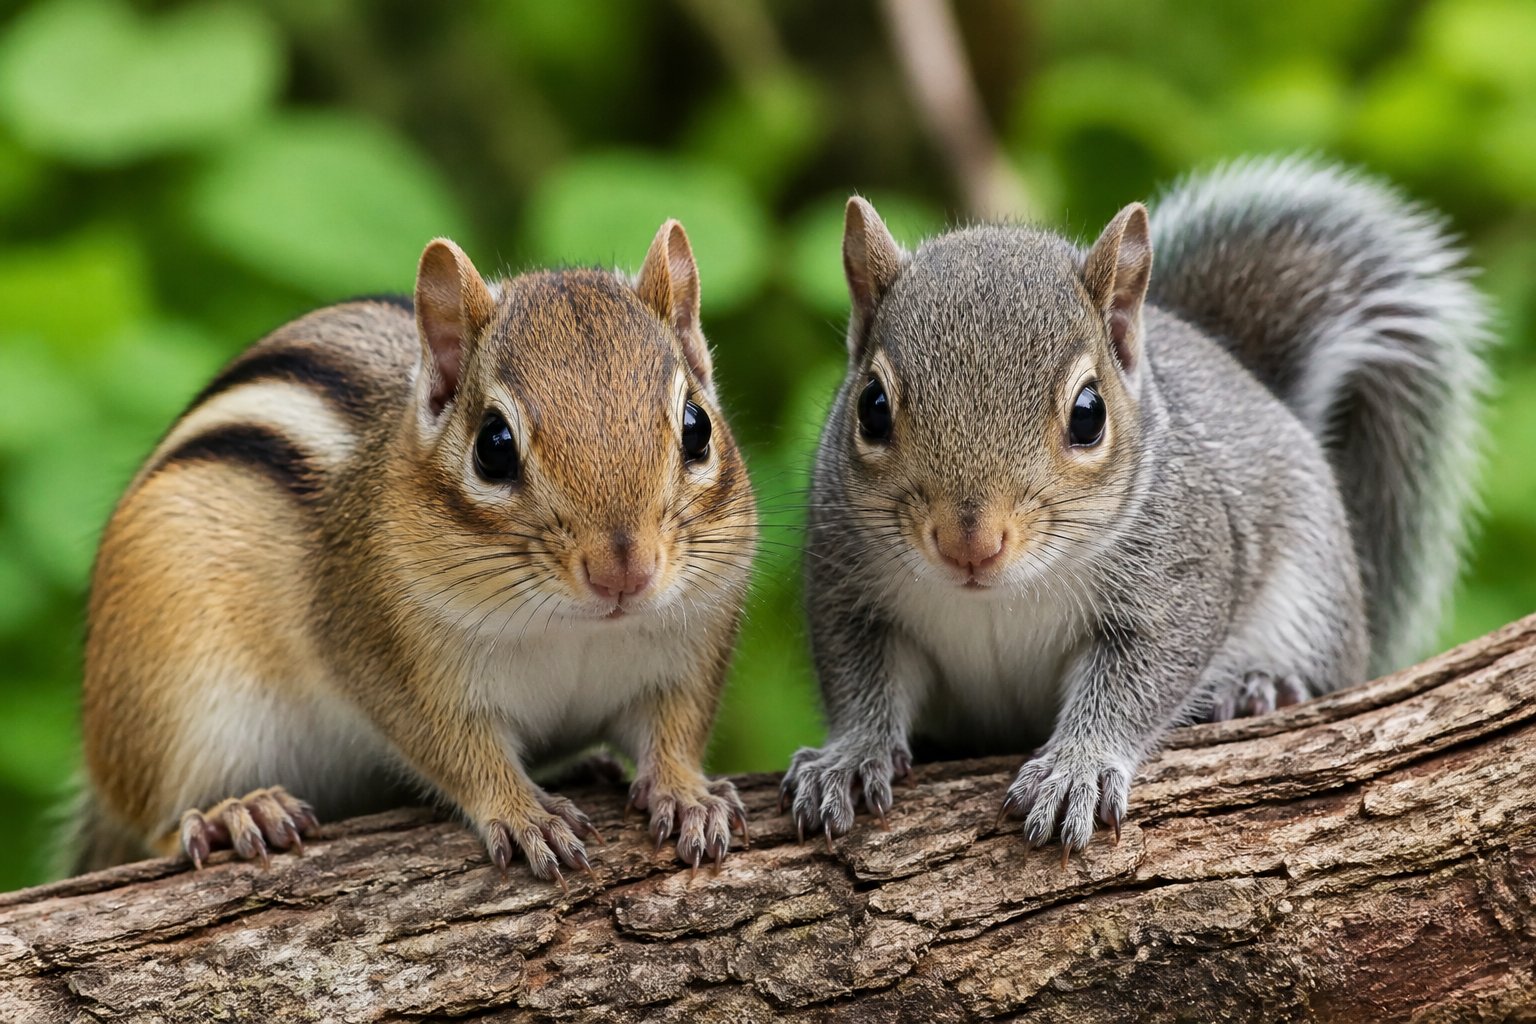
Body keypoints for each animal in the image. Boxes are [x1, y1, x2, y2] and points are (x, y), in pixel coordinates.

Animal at [69, 220, 758, 884]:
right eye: (494, 446)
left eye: (697, 427)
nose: (623, 572)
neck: (574, 629)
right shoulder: (399, 664)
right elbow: (462, 754)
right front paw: (523, 813)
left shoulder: (690, 652)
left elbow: (677, 731)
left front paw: (688, 794)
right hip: (172, 704)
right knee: (155, 827)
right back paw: (234, 813)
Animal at [782, 157, 1488, 859]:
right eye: (872, 407)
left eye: (1089, 415)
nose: (969, 545)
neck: (996, 597)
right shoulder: (849, 588)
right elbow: (856, 678)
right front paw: (849, 757)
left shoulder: (1179, 579)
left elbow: (1140, 679)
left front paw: (1079, 767)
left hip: (1313, 595)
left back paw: (1258, 685)